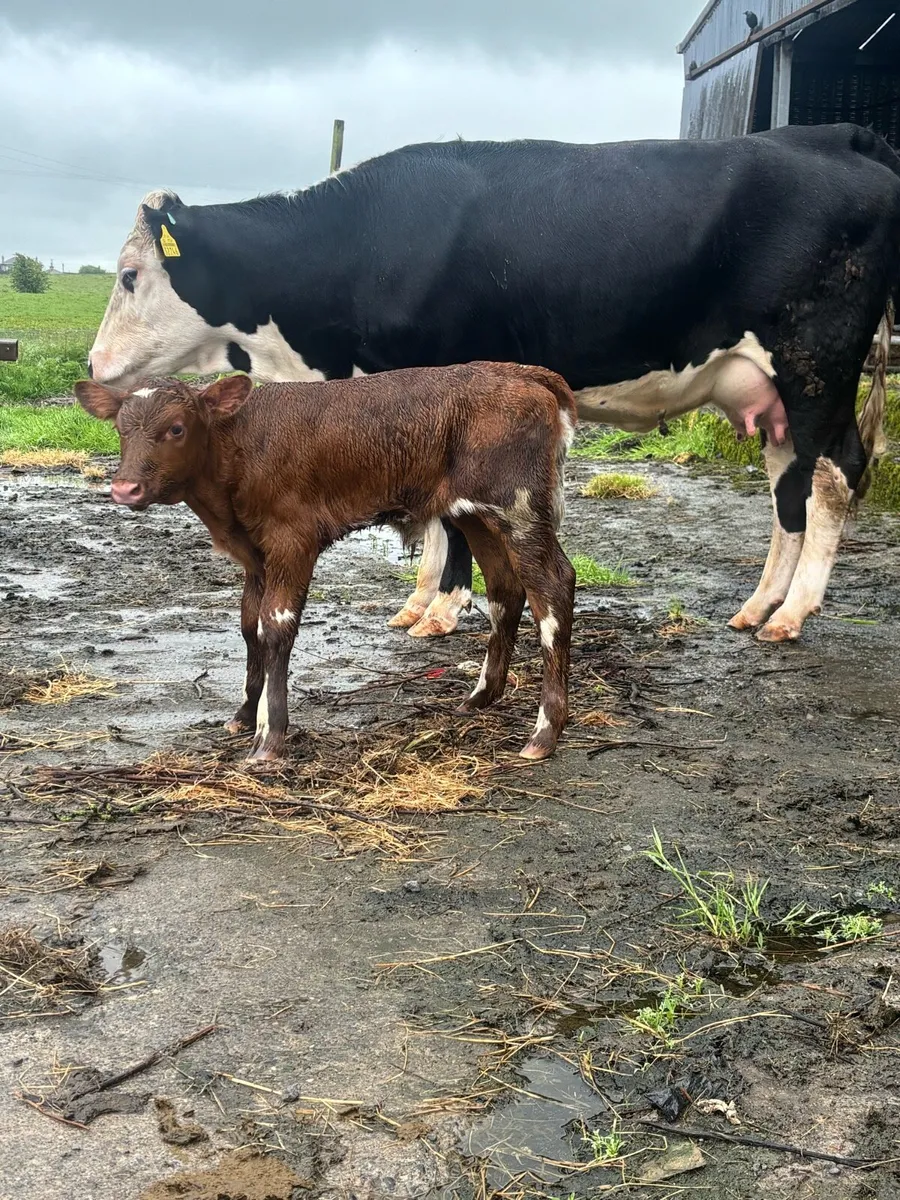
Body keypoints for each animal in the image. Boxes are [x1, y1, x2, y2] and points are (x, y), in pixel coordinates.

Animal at [73, 363, 578, 763]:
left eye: (176, 428)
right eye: (120, 429)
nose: (125, 489)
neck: (237, 447)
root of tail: (524, 372)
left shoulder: (293, 540)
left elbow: (275, 626)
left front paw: (269, 736)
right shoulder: (255, 557)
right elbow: (249, 625)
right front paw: (244, 714)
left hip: (516, 505)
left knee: (552, 585)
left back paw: (545, 731)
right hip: (473, 514)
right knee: (505, 589)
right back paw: (481, 696)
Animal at [88, 122, 900, 645]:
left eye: (129, 276)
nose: (93, 370)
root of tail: (838, 136)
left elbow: (448, 512)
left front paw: (443, 611)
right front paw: (420, 603)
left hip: (817, 366)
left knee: (834, 478)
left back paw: (793, 614)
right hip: (774, 394)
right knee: (790, 485)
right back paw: (759, 605)